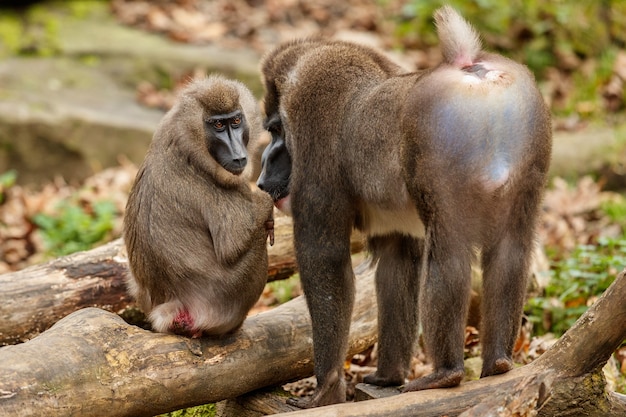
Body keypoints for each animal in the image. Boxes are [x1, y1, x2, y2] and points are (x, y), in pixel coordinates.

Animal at [124, 73, 272, 336]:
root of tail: (173, 307)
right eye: (218, 126)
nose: (238, 155)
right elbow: (231, 245)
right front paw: (266, 205)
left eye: (236, 120)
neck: (188, 141)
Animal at [256, 4, 548, 404]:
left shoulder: (312, 123)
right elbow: (397, 270)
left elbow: (325, 258)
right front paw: (386, 377)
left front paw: (326, 387)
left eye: (274, 131)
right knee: (511, 254)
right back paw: (499, 362)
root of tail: (467, 65)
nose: (263, 171)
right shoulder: (396, 233)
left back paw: (445, 373)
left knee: (449, 258)